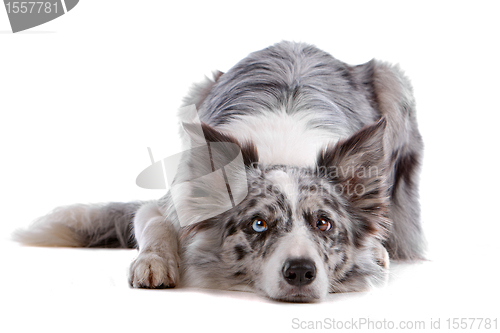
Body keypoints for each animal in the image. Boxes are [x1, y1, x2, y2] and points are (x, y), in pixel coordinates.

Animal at [14, 40, 422, 300]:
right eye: (259, 224)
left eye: (323, 223)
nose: (301, 272)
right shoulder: (171, 201)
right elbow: (154, 224)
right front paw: (153, 262)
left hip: (393, 80)